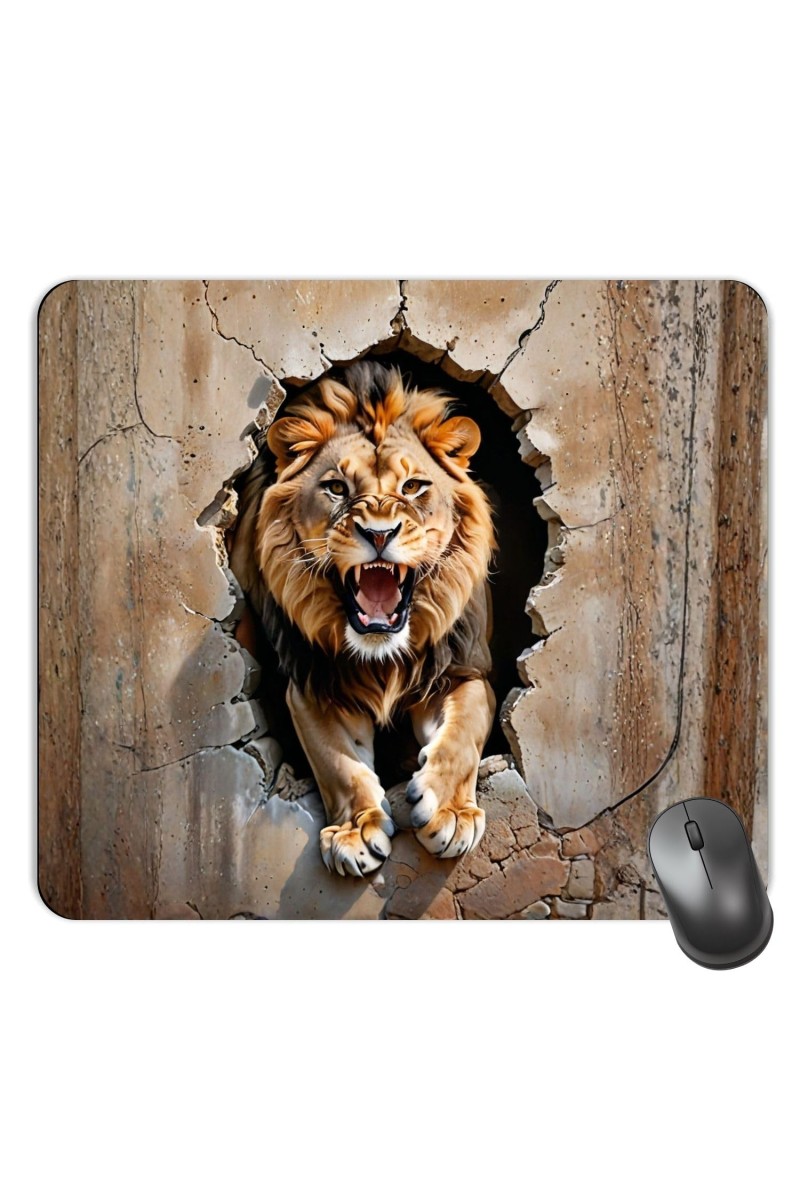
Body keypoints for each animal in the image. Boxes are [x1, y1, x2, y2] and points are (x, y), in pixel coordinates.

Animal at [229, 360, 496, 877]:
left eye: (413, 487)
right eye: (337, 487)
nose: (378, 533)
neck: (382, 656)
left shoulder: (463, 669)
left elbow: (464, 731)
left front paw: (450, 813)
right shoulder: (312, 685)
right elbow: (339, 764)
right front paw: (356, 831)